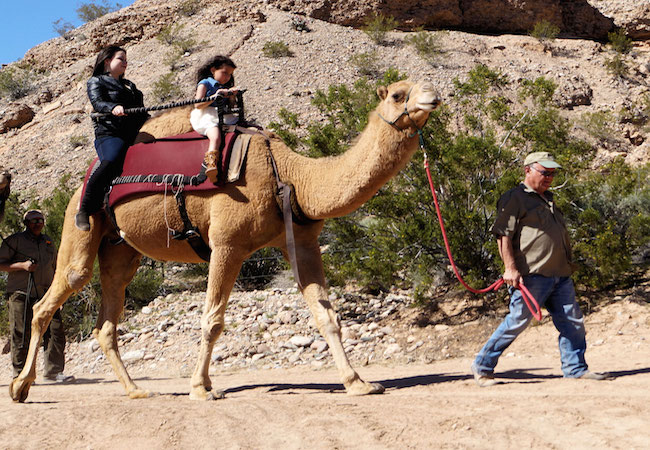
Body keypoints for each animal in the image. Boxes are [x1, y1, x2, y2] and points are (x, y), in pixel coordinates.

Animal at [10, 80, 440, 400]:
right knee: (51, 299)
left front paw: (359, 382)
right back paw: (20, 387)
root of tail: (83, 180)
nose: (434, 95)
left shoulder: (301, 242)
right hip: (80, 227)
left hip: (120, 250)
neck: (290, 174)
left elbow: (327, 315)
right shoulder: (227, 244)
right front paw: (201, 388)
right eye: (398, 93)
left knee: (106, 319)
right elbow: (213, 319)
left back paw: (135, 390)